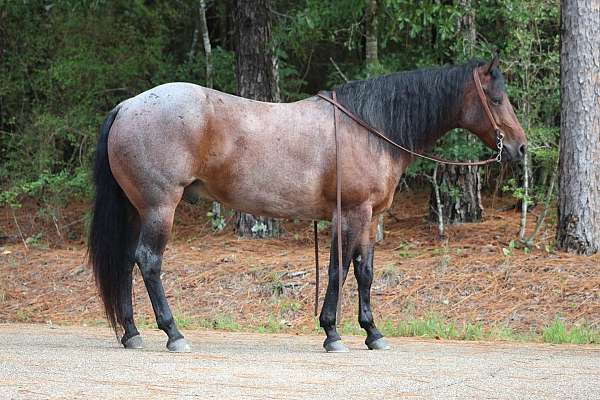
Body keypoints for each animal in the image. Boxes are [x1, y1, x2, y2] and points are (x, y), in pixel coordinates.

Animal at [88, 54, 524, 352]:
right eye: (496, 98)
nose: (520, 148)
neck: (370, 129)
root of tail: (127, 106)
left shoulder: (370, 219)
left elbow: (365, 273)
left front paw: (373, 333)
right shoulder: (350, 214)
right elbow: (339, 271)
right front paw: (332, 332)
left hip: (137, 209)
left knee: (125, 262)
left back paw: (132, 333)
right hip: (160, 208)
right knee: (148, 261)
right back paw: (173, 333)